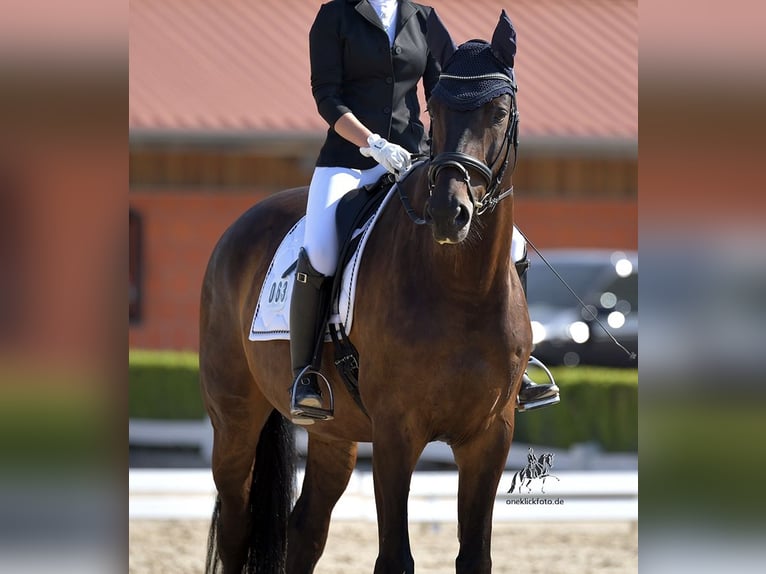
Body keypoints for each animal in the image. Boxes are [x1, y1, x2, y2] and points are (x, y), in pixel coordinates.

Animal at [201, 10, 532, 574]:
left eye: (499, 110)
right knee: (238, 524)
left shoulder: (491, 434)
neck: (462, 288)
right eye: (436, 108)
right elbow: (395, 557)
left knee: (305, 530)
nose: (449, 213)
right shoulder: (396, 432)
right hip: (234, 418)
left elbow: (475, 555)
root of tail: (238, 228)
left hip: (334, 434)